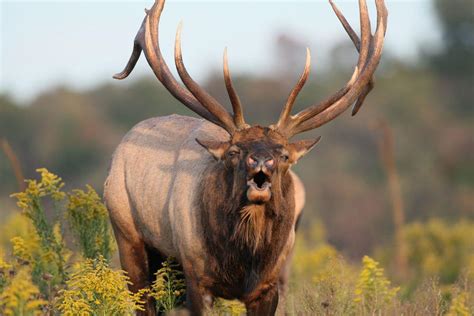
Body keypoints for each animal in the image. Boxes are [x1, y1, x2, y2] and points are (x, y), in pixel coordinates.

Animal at [105, 0, 386, 314]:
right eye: (234, 152)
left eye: (284, 155)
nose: (261, 161)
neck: (242, 263)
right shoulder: (196, 275)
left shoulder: (268, 285)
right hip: (128, 235)